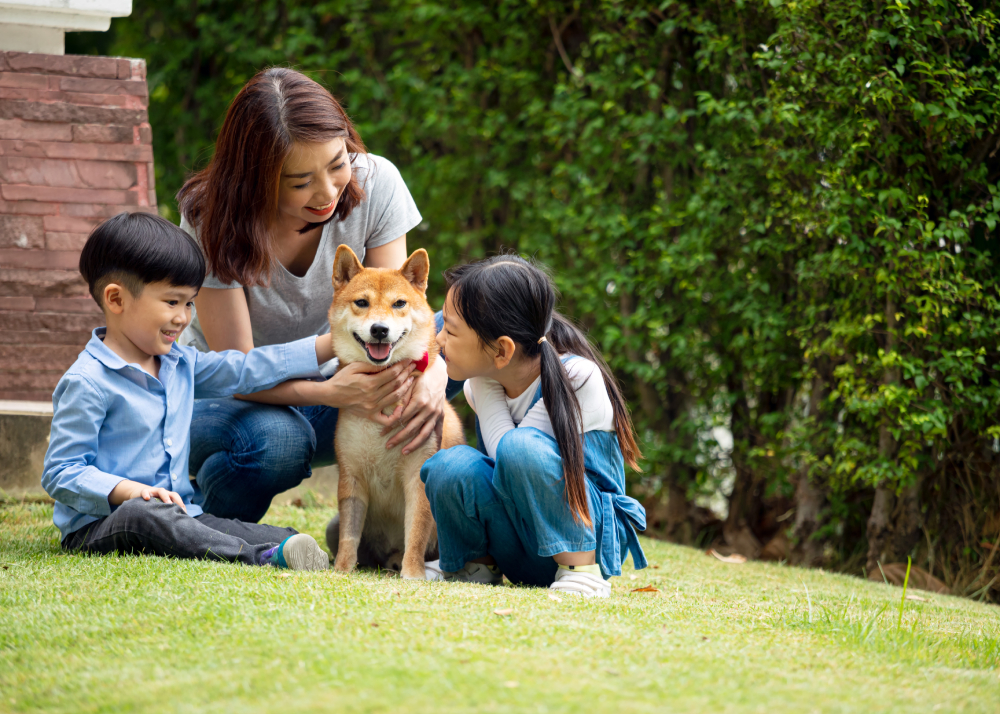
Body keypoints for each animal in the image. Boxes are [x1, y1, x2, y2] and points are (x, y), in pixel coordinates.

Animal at [324, 245, 464, 580]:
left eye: (399, 303)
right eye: (362, 302)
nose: (379, 329)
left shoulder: (418, 474)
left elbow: (416, 532)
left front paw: (413, 575)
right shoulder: (351, 477)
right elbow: (349, 535)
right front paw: (342, 570)